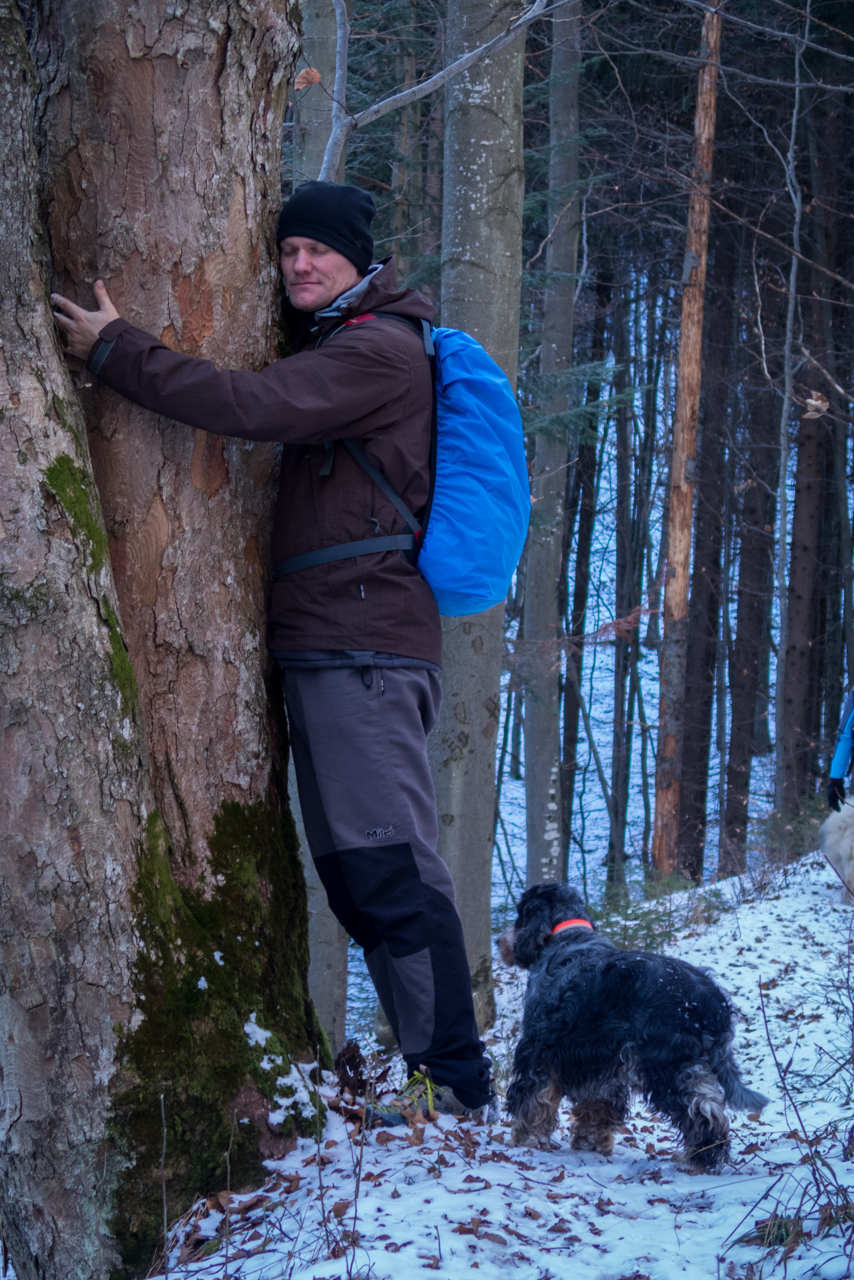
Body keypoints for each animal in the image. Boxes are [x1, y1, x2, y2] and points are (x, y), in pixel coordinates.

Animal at [496, 885, 773, 1167]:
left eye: (520, 913)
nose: (499, 941)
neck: (567, 935)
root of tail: (712, 1001)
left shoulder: (539, 1047)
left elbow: (534, 1100)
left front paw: (527, 1139)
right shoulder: (604, 1065)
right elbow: (597, 1109)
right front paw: (590, 1145)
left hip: (665, 1065)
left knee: (698, 1109)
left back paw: (698, 1158)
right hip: (690, 1065)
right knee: (711, 1107)